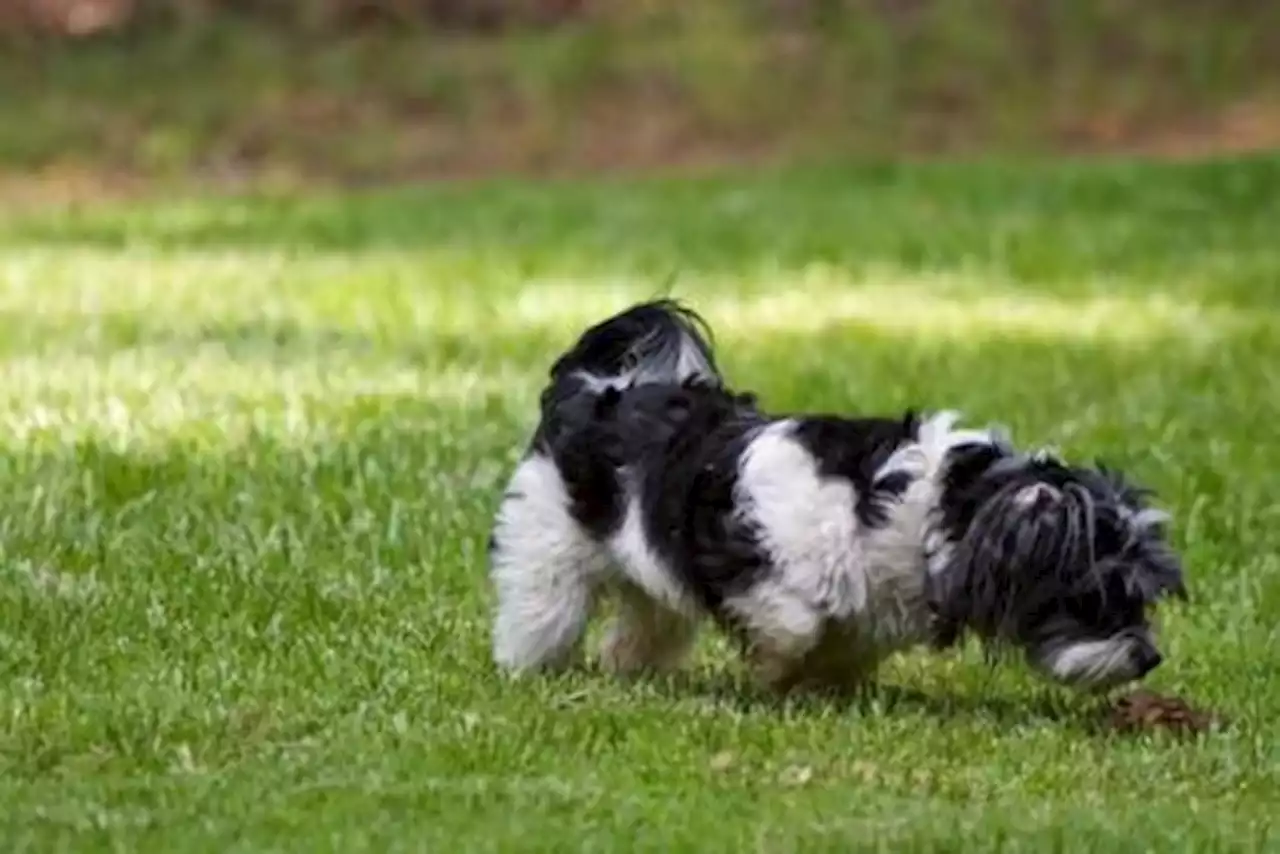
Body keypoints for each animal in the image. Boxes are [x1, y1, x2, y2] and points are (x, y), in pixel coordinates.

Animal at [486, 300, 1177, 696]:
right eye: (1097, 595)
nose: (1149, 658)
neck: (925, 508)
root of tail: (598, 386)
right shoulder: (748, 554)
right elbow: (797, 623)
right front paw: (776, 667)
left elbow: (847, 642)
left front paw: (824, 682)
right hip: (550, 547)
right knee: (543, 607)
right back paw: (530, 667)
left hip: (644, 565)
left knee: (650, 619)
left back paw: (630, 665)